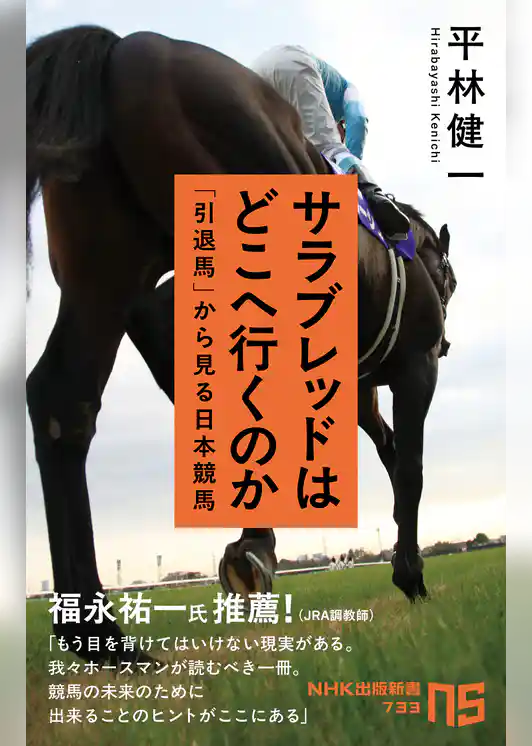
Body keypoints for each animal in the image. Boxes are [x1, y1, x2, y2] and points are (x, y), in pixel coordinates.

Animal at [26, 25, 456, 665]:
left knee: (66, 403)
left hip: (107, 268)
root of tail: (126, 47)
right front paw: (412, 576)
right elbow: (410, 467)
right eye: (449, 281)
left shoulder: (352, 385)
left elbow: (387, 448)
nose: (449, 340)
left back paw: (101, 635)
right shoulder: (414, 363)